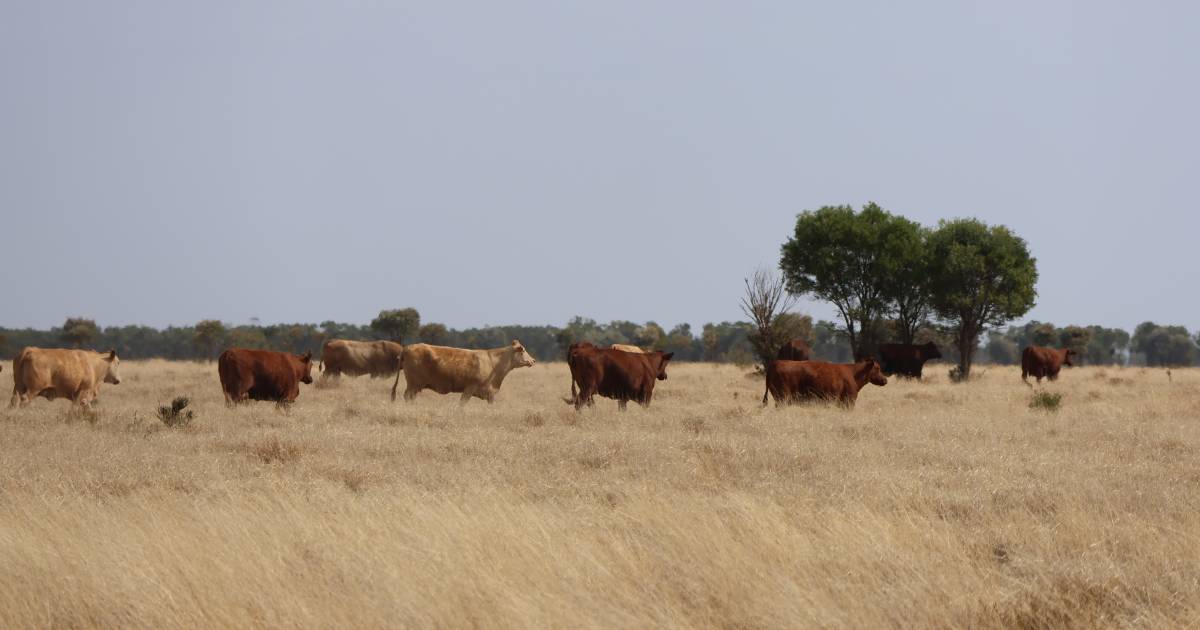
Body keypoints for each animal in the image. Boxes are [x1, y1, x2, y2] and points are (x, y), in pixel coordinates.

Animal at [391, 338, 537, 403]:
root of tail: (407, 347)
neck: (493, 363)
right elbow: (462, 403)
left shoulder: (489, 393)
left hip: (415, 386)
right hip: (413, 384)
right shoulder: (470, 388)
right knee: (408, 396)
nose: (533, 360)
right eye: (523, 350)